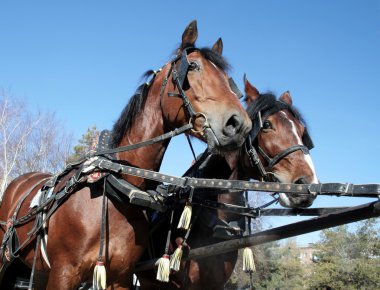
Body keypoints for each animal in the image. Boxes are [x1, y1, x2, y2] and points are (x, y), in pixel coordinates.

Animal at [0, 19, 252, 288]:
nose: (239, 124)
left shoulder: (120, 276)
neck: (116, 186)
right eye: (193, 66)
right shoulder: (63, 273)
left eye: (227, 79)